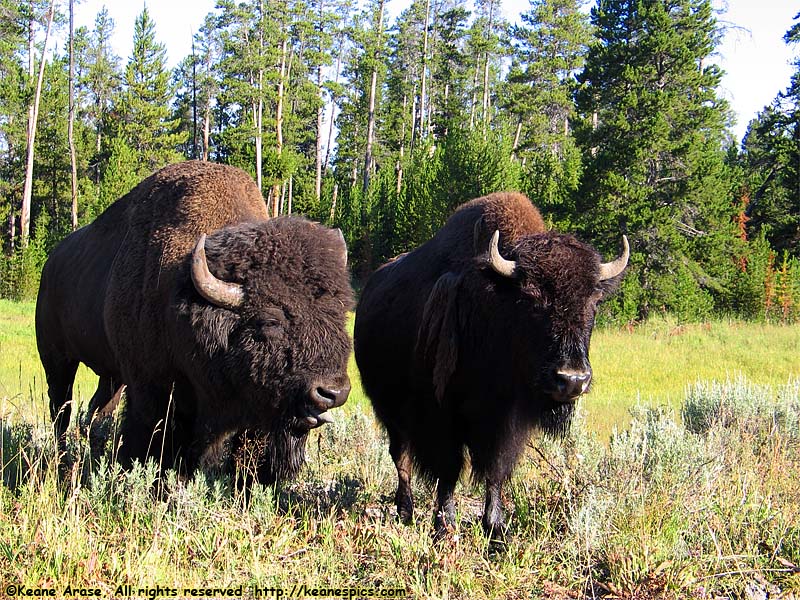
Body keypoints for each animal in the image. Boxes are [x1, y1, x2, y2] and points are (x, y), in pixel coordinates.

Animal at [36, 162, 352, 486]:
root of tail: (50, 264)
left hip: (111, 376)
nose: (332, 392)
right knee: (61, 409)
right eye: (269, 321)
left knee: (96, 410)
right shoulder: (151, 391)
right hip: (56, 360)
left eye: (340, 314)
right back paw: (62, 458)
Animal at [354, 193, 628, 540]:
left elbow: (496, 470)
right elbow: (448, 469)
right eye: (531, 298)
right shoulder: (442, 415)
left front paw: (496, 530)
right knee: (401, 458)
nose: (572, 380)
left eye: (594, 302)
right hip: (389, 411)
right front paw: (444, 526)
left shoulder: (506, 421)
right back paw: (405, 511)